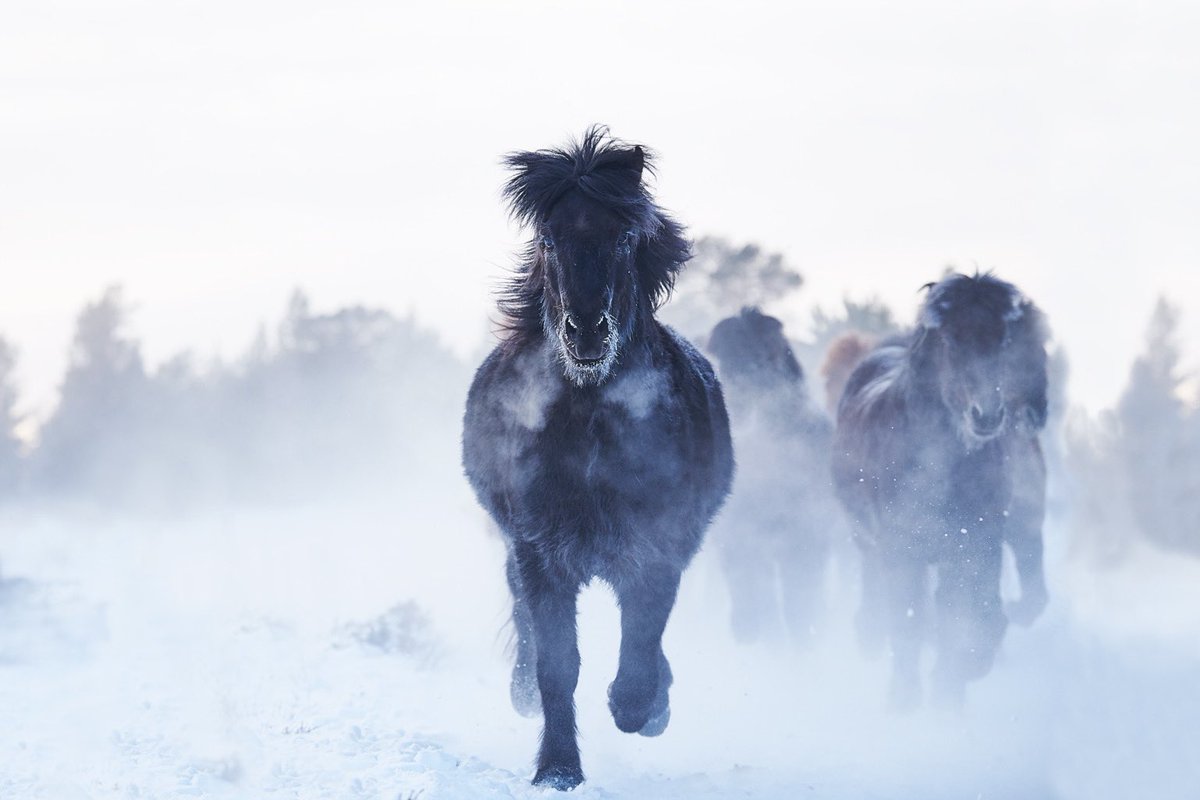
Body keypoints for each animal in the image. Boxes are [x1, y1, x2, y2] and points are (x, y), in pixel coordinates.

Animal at [462, 127, 734, 790]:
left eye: (625, 237)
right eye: (548, 238)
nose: (586, 330)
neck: (588, 422)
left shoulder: (656, 546)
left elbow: (641, 645)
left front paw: (644, 709)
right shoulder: (540, 552)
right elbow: (558, 665)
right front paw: (558, 769)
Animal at [706, 307, 838, 645]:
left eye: (770, 353)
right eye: (724, 358)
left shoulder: (804, 533)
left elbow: (798, 589)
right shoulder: (739, 535)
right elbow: (749, 586)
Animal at [831, 272, 1050, 709]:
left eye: (1004, 340)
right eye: (950, 340)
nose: (987, 415)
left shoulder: (978, 542)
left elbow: (975, 618)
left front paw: (953, 686)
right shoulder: (901, 549)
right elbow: (908, 622)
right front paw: (906, 700)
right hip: (868, 542)